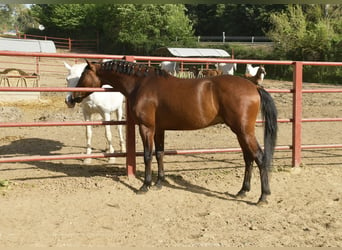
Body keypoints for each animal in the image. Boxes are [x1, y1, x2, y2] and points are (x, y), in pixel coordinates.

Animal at [72, 59, 278, 204]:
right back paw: (243, 190)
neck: (141, 84)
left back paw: (263, 196)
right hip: (240, 132)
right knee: (248, 158)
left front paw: (145, 185)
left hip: (244, 131)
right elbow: (160, 153)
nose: (72, 97)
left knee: (259, 157)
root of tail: (254, 86)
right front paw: (159, 183)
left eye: (83, 75)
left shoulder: (146, 128)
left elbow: (148, 155)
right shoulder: (159, 129)